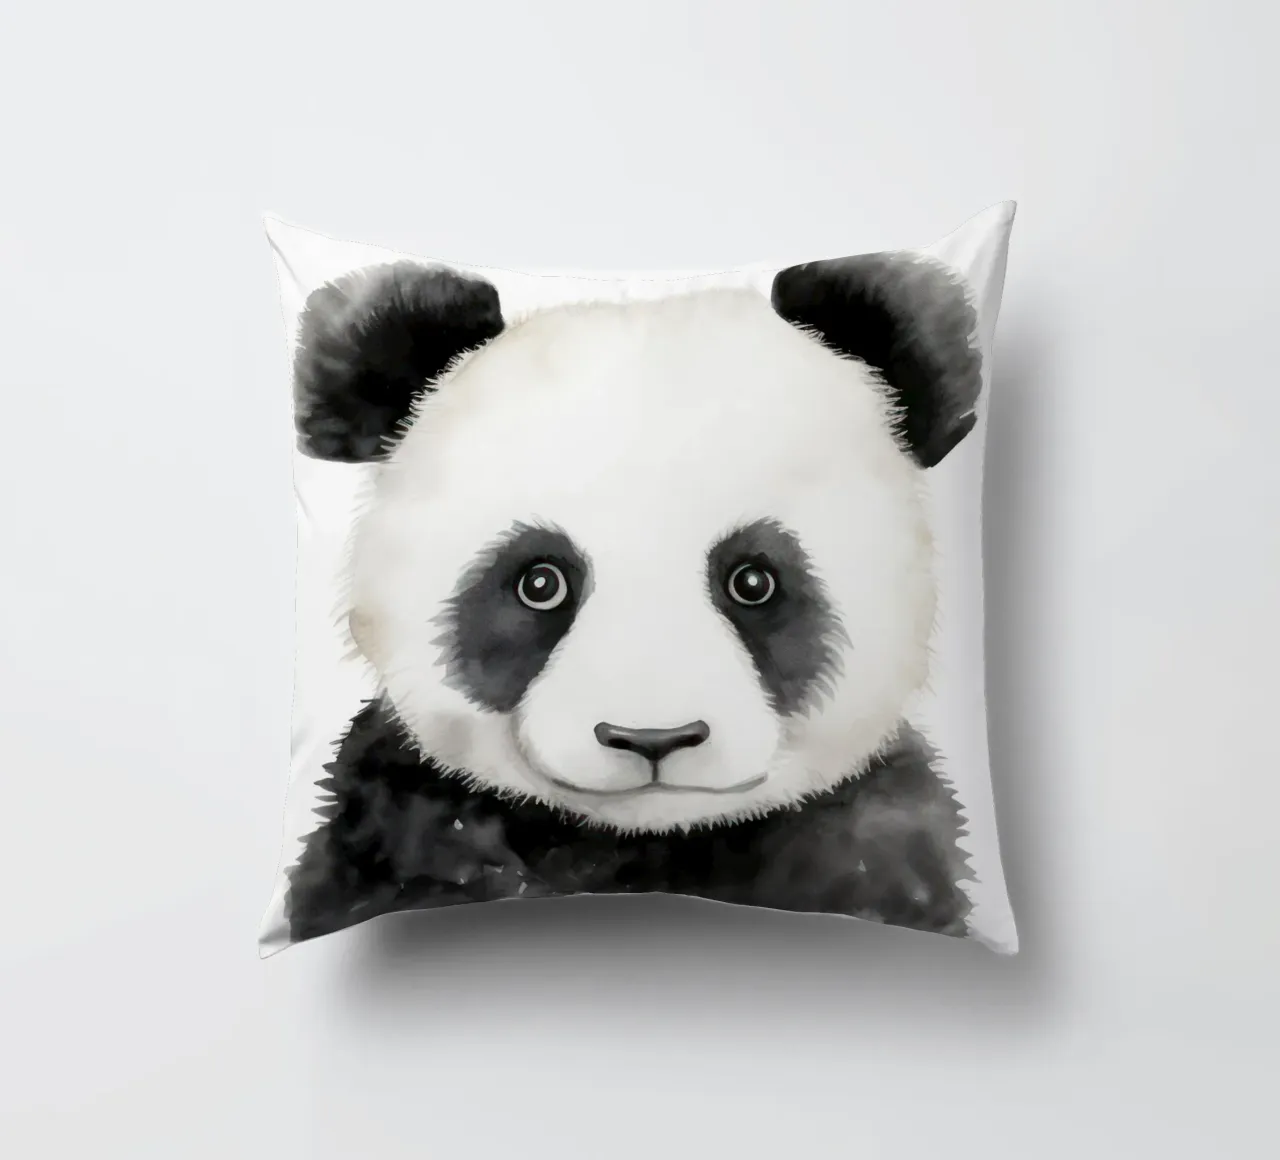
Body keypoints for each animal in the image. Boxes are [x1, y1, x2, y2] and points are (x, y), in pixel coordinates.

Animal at [283, 251, 984, 946]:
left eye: (752, 581)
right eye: (540, 582)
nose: (653, 739)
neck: (644, 845)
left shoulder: (874, 838)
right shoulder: (397, 822)